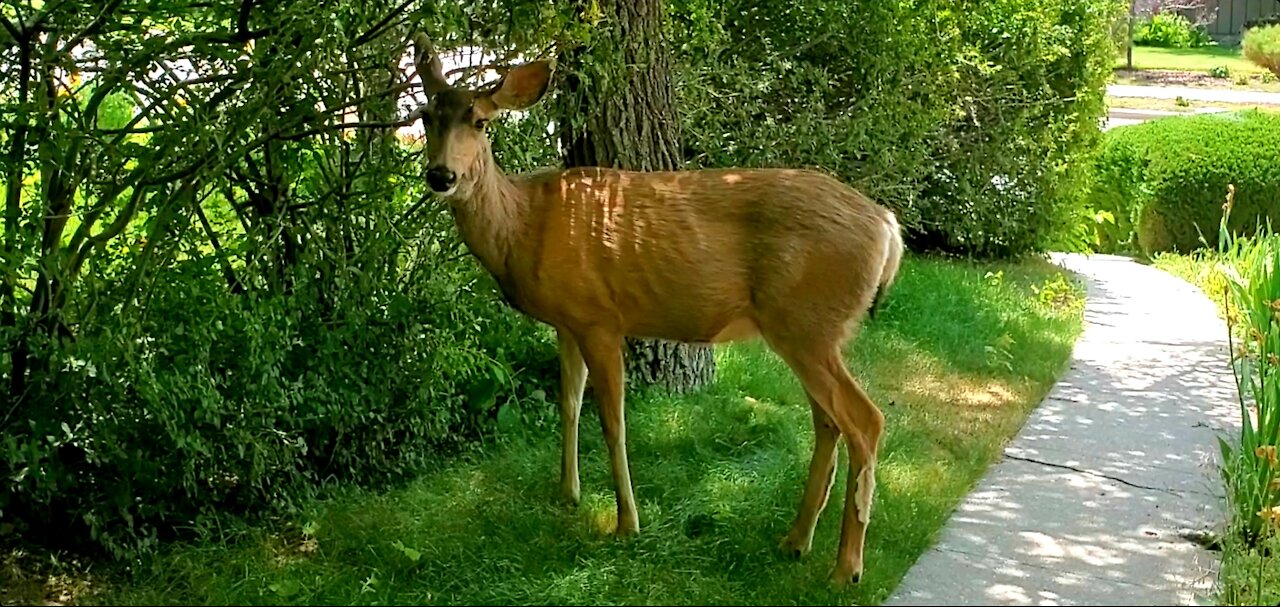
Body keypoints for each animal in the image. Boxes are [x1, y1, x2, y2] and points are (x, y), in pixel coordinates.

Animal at [407, 32, 901, 583]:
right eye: (426, 115)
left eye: (480, 121)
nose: (441, 175)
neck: (525, 226)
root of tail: (889, 227)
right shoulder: (566, 322)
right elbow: (569, 405)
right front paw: (568, 493)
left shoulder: (600, 318)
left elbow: (612, 421)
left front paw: (627, 522)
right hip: (809, 332)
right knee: (829, 422)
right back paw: (795, 541)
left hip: (807, 323)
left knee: (866, 421)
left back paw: (845, 568)